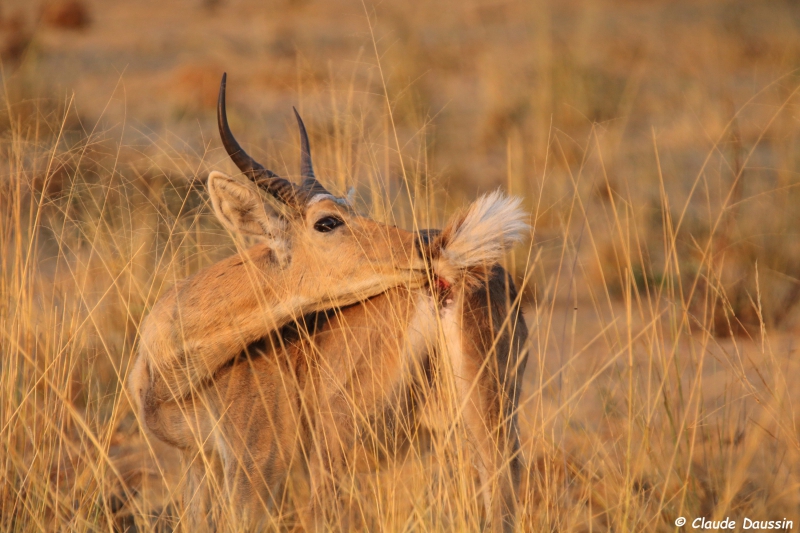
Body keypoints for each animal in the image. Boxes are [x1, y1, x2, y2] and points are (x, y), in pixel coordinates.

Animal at [128, 72, 532, 528]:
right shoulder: (199, 461)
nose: (424, 246)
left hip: (340, 448)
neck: (168, 364)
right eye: (327, 221)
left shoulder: (258, 463)